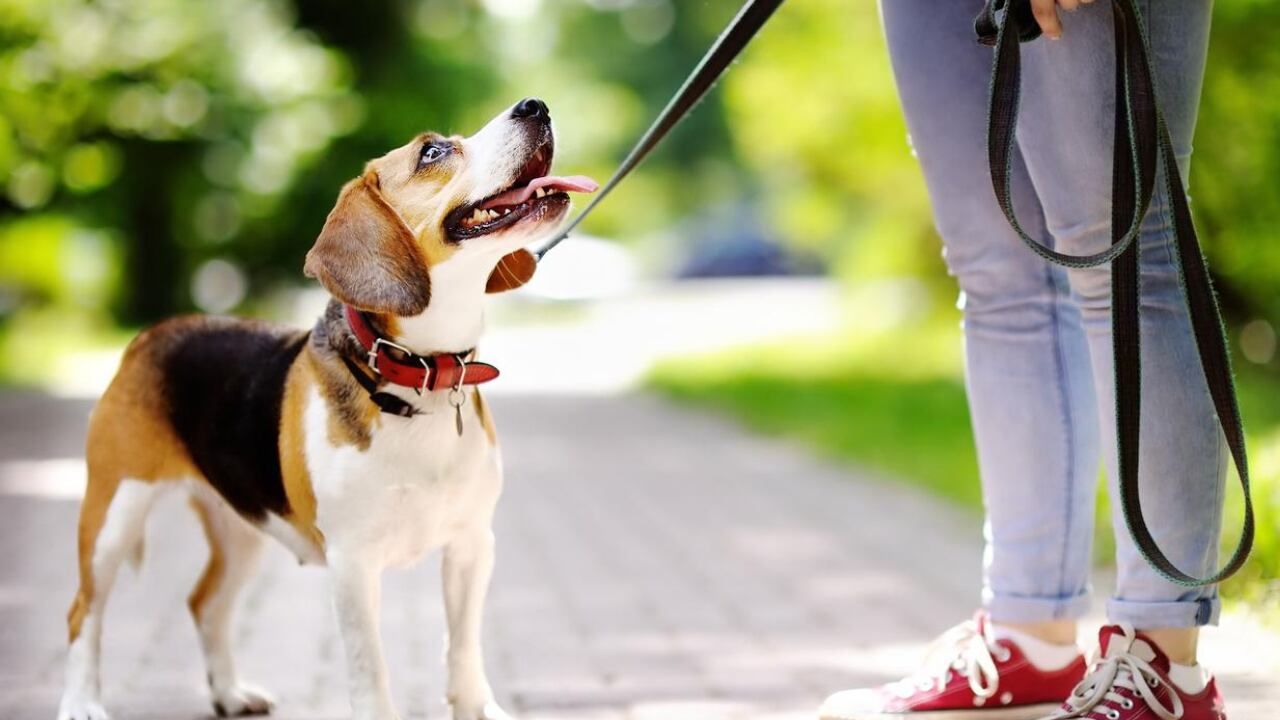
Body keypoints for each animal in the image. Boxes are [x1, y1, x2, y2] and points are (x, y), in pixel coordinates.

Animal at [57, 98, 596, 717]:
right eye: (433, 152)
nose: (535, 105)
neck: (420, 377)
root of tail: (151, 335)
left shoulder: (470, 545)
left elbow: (463, 653)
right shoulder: (353, 565)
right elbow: (371, 673)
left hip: (242, 528)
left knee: (205, 603)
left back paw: (229, 692)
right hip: (112, 515)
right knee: (83, 612)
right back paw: (82, 701)